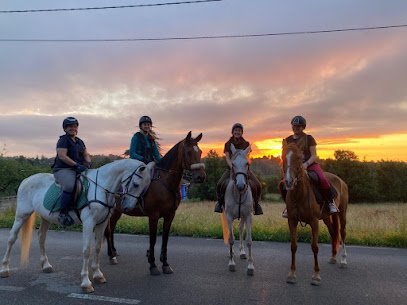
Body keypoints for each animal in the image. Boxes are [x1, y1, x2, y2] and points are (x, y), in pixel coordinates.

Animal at [0, 158, 153, 290]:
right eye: (136, 184)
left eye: (145, 187)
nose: (128, 207)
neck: (101, 187)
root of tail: (26, 179)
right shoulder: (88, 223)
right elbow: (87, 250)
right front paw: (86, 282)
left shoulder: (102, 223)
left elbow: (97, 248)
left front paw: (98, 275)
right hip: (22, 214)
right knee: (12, 238)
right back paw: (5, 269)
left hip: (45, 218)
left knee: (41, 238)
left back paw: (46, 265)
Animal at [105, 132, 207, 274]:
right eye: (188, 152)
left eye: (201, 152)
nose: (201, 177)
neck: (165, 182)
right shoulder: (153, 216)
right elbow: (153, 239)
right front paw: (152, 264)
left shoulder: (170, 216)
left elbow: (165, 239)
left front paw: (165, 264)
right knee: (108, 231)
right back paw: (111, 255)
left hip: (117, 212)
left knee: (112, 228)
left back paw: (114, 252)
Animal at [282, 141, 350, 284]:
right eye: (283, 157)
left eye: (299, 158)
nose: (289, 182)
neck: (300, 194)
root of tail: (341, 180)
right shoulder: (292, 221)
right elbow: (293, 246)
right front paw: (292, 274)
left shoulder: (314, 222)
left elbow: (315, 247)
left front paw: (316, 275)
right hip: (327, 217)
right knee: (333, 233)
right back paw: (333, 257)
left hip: (342, 213)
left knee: (342, 233)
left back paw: (343, 260)